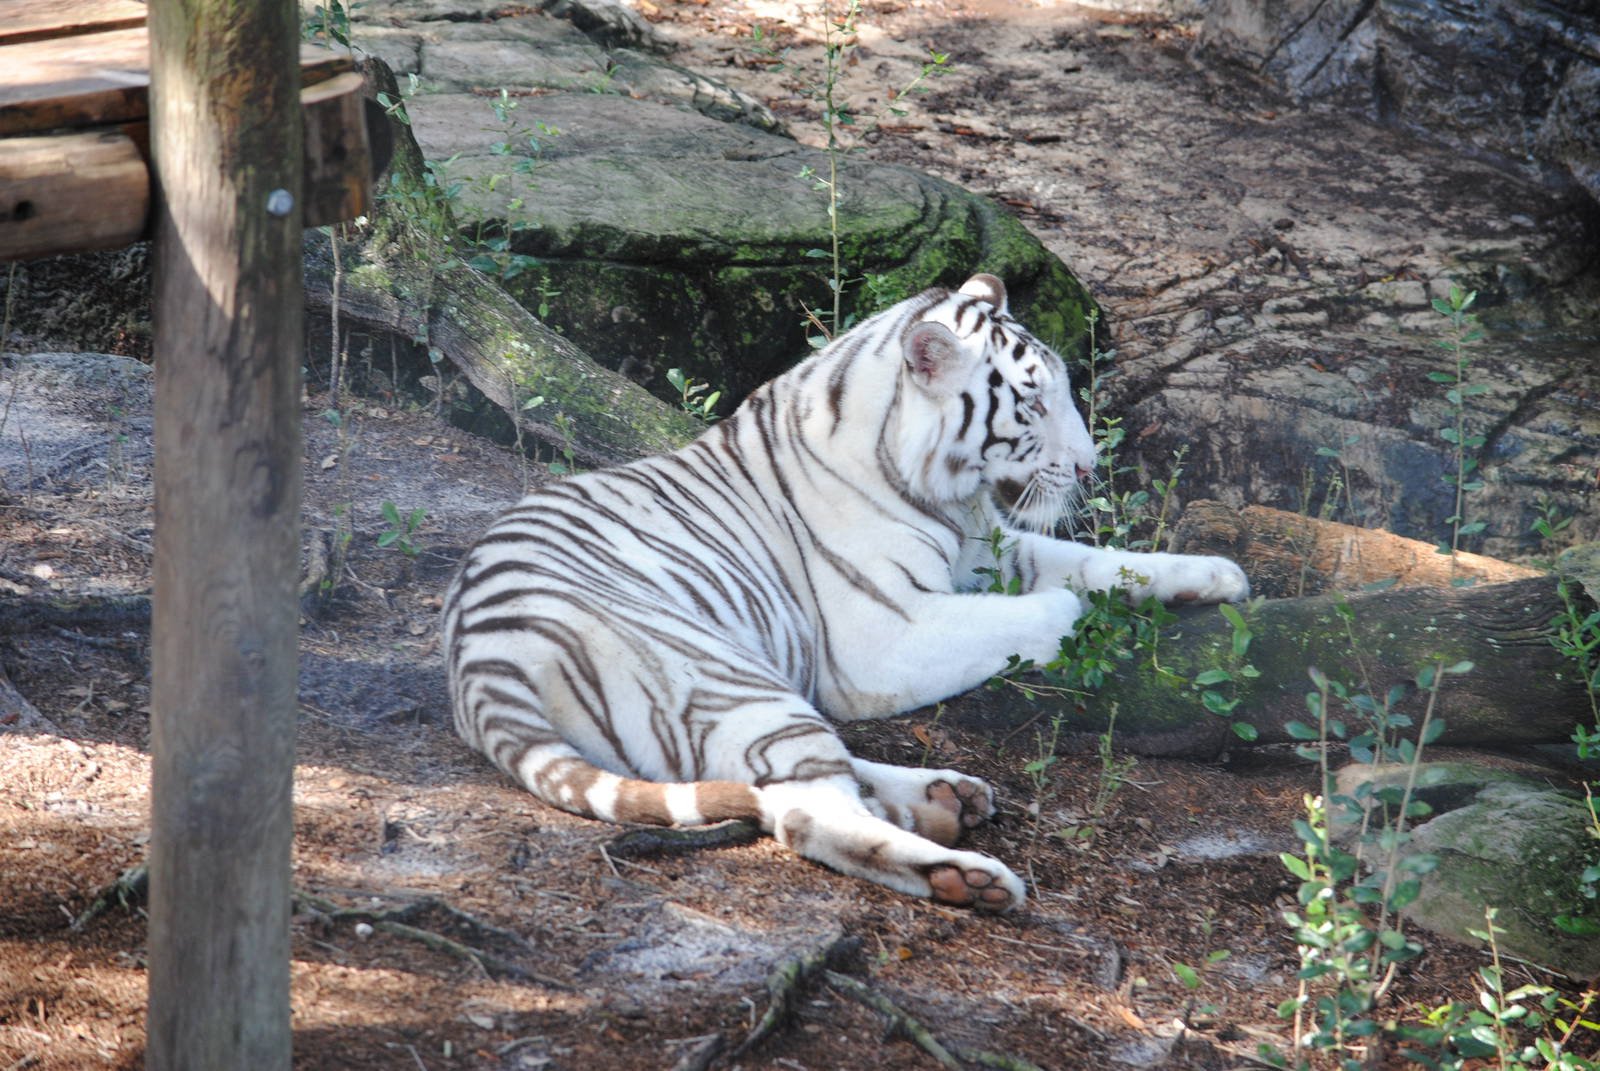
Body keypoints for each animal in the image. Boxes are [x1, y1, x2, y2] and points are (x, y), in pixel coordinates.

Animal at [443, 273, 1249, 912]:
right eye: (1031, 405)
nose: (1087, 469)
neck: (947, 496)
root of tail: (479, 655)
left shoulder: (989, 549)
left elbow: (1093, 560)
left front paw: (1216, 574)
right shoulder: (884, 637)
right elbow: (1059, 600)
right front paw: (1077, 617)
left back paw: (947, 795)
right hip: (726, 674)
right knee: (803, 808)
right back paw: (966, 872)